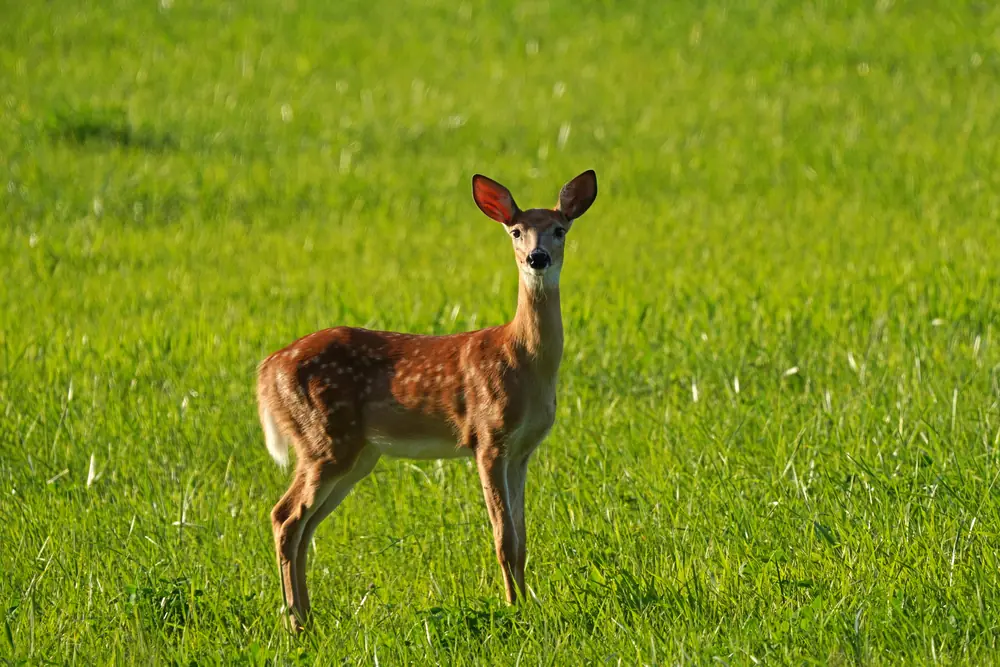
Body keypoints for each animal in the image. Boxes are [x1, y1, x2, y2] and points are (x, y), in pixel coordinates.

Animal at [255, 169, 598, 631]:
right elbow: (504, 538)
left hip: (356, 455)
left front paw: (527, 604)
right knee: (286, 517)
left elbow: (523, 537)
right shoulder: (487, 437)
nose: (537, 258)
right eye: (516, 231)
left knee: (305, 526)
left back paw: (308, 619)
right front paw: (513, 608)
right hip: (324, 438)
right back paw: (297, 625)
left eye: (560, 229)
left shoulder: (523, 451)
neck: (523, 359)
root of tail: (266, 369)